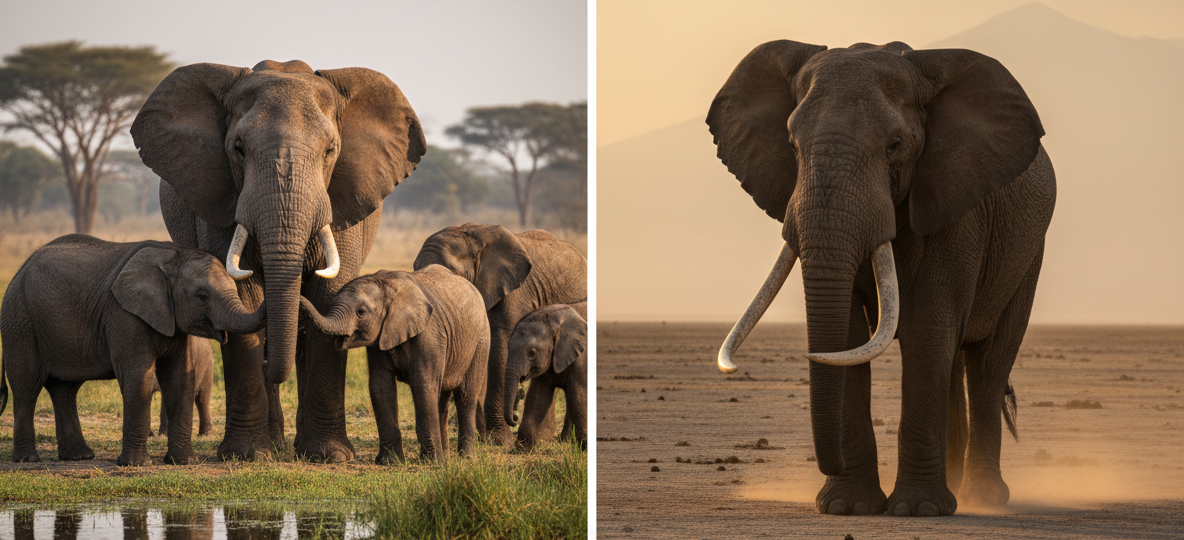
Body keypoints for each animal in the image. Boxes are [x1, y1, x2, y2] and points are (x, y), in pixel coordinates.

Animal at [0, 235, 266, 465]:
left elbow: (179, 379)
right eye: (202, 296)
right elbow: (138, 376)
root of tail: (18, 273)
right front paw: (136, 464)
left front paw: (183, 462)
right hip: (20, 322)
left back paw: (78, 457)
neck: (173, 255)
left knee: (64, 390)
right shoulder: (123, 313)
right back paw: (28, 459)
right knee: (27, 388)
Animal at [131, 59, 426, 461]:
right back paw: (274, 444)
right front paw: (248, 455)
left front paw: (329, 455)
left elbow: (330, 296)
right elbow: (242, 296)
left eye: (331, 150)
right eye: (238, 148)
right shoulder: (220, 200)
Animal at [299, 265, 490, 462]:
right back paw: (446, 454)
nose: (299, 295)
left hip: (481, 340)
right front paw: (390, 462)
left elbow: (423, 386)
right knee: (442, 398)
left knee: (465, 396)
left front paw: (433, 462)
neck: (386, 286)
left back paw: (466, 457)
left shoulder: (428, 334)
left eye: (361, 312)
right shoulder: (379, 340)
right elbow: (381, 387)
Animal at [504, 301, 587, 450]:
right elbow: (537, 397)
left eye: (531, 353)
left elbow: (579, 395)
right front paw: (521, 450)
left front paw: (584, 446)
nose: (514, 419)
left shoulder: (581, 358)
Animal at [708, 41, 1055, 516]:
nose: (830, 464)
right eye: (793, 145)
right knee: (953, 364)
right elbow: (851, 337)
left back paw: (983, 498)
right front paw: (847, 507)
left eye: (894, 146)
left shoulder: (957, 205)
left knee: (988, 364)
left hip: (1027, 252)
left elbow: (928, 328)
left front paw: (918, 510)